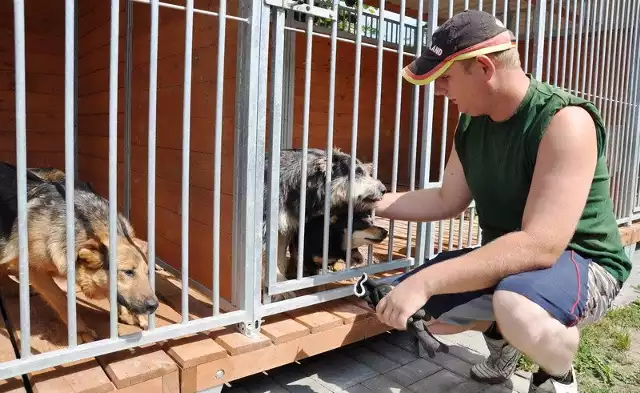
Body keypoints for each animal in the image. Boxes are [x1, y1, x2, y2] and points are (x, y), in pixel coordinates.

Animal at [0, 162, 158, 340]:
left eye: (147, 273)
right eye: (128, 272)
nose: (154, 306)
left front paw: (128, 314)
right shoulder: (34, 269)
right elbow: (61, 298)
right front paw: (81, 331)